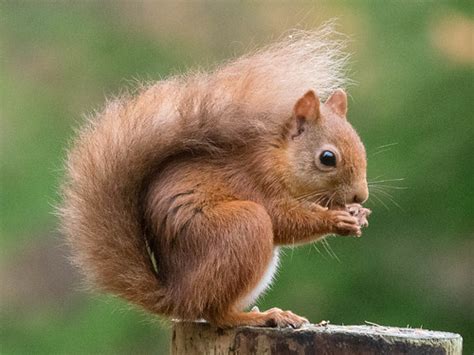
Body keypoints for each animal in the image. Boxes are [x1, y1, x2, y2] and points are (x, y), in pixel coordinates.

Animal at [60, 26, 370, 330]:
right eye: (327, 158)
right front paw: (336, 219)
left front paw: (358, 213)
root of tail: (177, 296)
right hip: (242, 227)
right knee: (216, 313)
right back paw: (261, 316)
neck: (278, 157)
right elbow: (284, 220)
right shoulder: (257, 181)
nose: (361, 195)